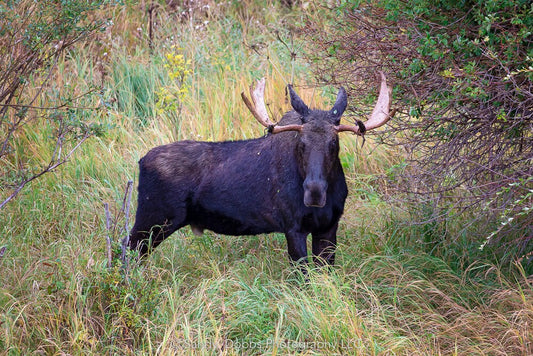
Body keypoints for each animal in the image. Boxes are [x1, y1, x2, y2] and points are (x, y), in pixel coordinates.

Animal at [128, 73, 390, 268]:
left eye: (333, 143)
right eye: (301, 143)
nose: (314, 192)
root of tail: (141, 161)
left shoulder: (328, 227)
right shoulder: (293, 228)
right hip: (152, 220)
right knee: (126, 252)